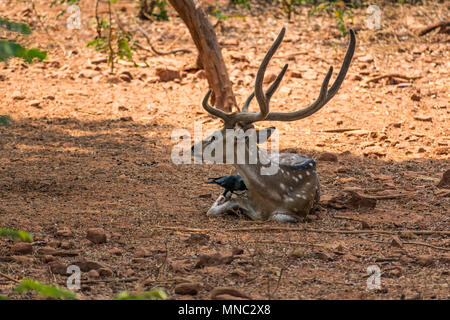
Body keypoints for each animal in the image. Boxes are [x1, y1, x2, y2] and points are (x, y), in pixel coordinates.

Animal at [191, 27, 356, 222]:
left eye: (214, 136)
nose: (193, 147)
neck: (273, 193)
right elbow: (215, 207)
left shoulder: (296, 213)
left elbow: (275, 217)